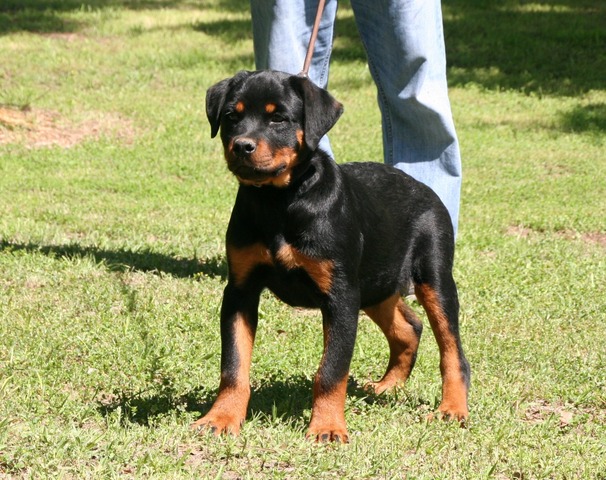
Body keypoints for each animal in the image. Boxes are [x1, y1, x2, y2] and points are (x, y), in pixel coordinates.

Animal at [195, 69, 470, 440]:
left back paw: (452, 409)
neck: (279, 200)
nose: (241, 146)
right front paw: (221, 418)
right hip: (374, 284)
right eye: (230, 116)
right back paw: (386, 386)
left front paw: (327, 428)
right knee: (408, 327)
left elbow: (331, 369)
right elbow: (233, 365)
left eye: (278, 118)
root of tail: (422, 186)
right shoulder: (240, 290)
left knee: (452, 351)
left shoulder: (340, 294)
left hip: (433, 277)